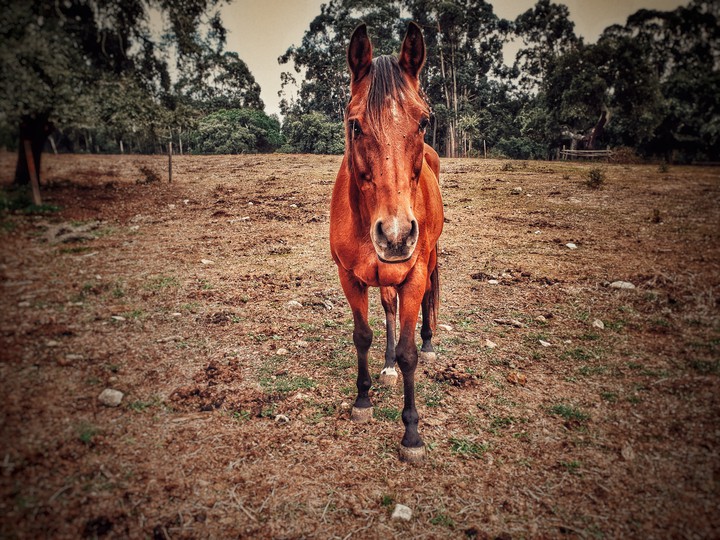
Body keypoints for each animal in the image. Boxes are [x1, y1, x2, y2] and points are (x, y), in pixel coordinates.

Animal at [329, 22, 443, 463]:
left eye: (424, 121)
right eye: (355, 125)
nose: (395, 235)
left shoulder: (412, 274)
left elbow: (410, 352)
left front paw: (411, 434)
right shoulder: (350, 277)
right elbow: (363, 335)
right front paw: (362, 400)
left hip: (429, 259)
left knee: (429, 297)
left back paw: (428, 344)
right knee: (390, 310)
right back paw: (389, 365)